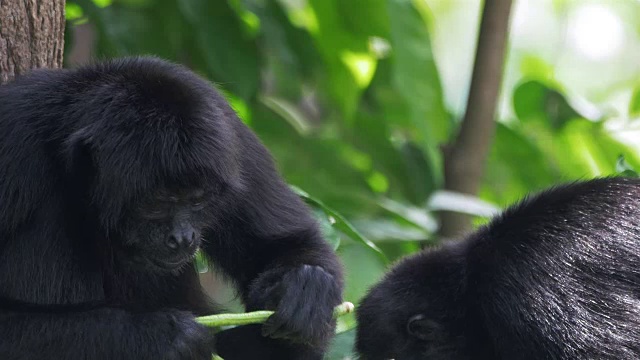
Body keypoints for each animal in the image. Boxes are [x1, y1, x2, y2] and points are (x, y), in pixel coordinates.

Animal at [0, 57, 344, 360]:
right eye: (156, 203)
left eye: (197, 200)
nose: (182, 237)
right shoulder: (15, 137)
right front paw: (159, 337)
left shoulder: (229, 133)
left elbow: (286, 241)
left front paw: (305, 289)